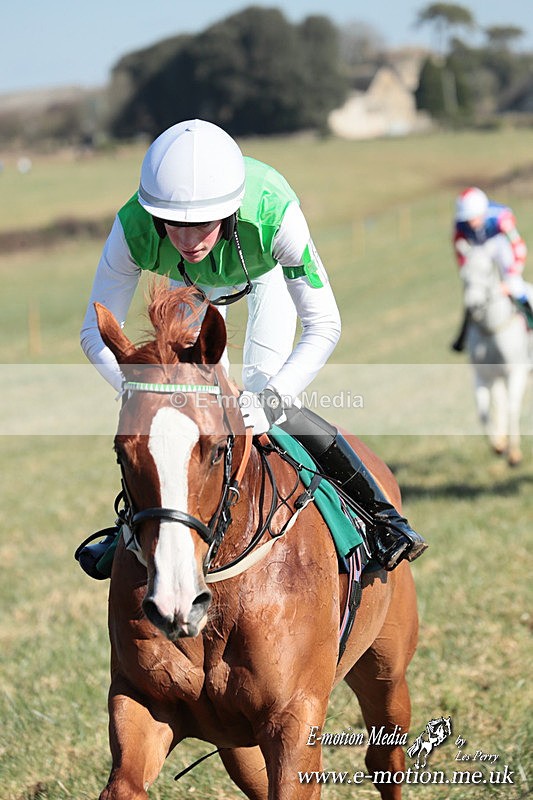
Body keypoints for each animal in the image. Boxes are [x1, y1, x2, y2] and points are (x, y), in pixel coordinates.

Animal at [92, 285, 419, 800]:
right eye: (123, 452)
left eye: (215, 449)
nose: (175, 601)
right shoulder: (141, 700)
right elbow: (123, 785)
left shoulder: (294, 718)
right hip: (237, 744)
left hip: (386, 670)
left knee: (385, 758)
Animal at [461, 244, 531, 466]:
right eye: (464, 275)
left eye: (487, 271)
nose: (473, 306)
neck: (491, 329)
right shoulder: (482, 375)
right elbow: (483, 413)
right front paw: (498, 445)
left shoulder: (516, 372)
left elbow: (512, 408)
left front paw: (514, 454)